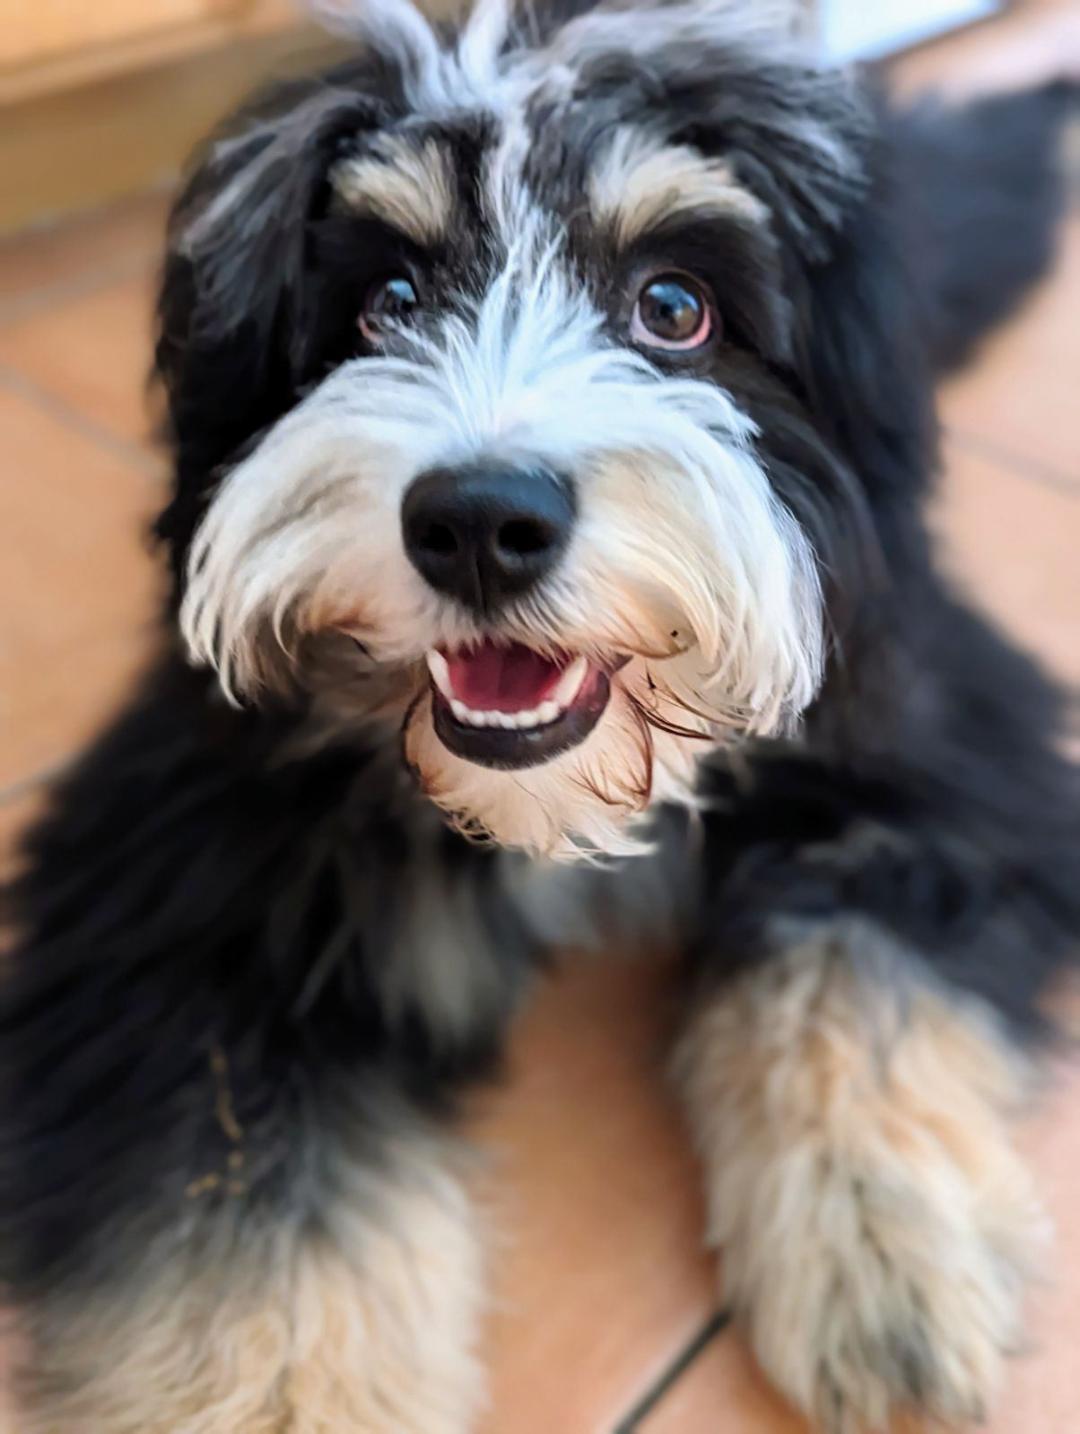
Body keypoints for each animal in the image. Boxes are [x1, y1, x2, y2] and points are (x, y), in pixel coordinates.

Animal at [2, 0, 1078, 1428]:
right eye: (387, 304)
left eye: (673, 307)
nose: (478, 523)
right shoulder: (180, 885)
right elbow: (238, 1204)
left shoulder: (942, 742)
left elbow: (850, 959)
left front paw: (885, 1246)